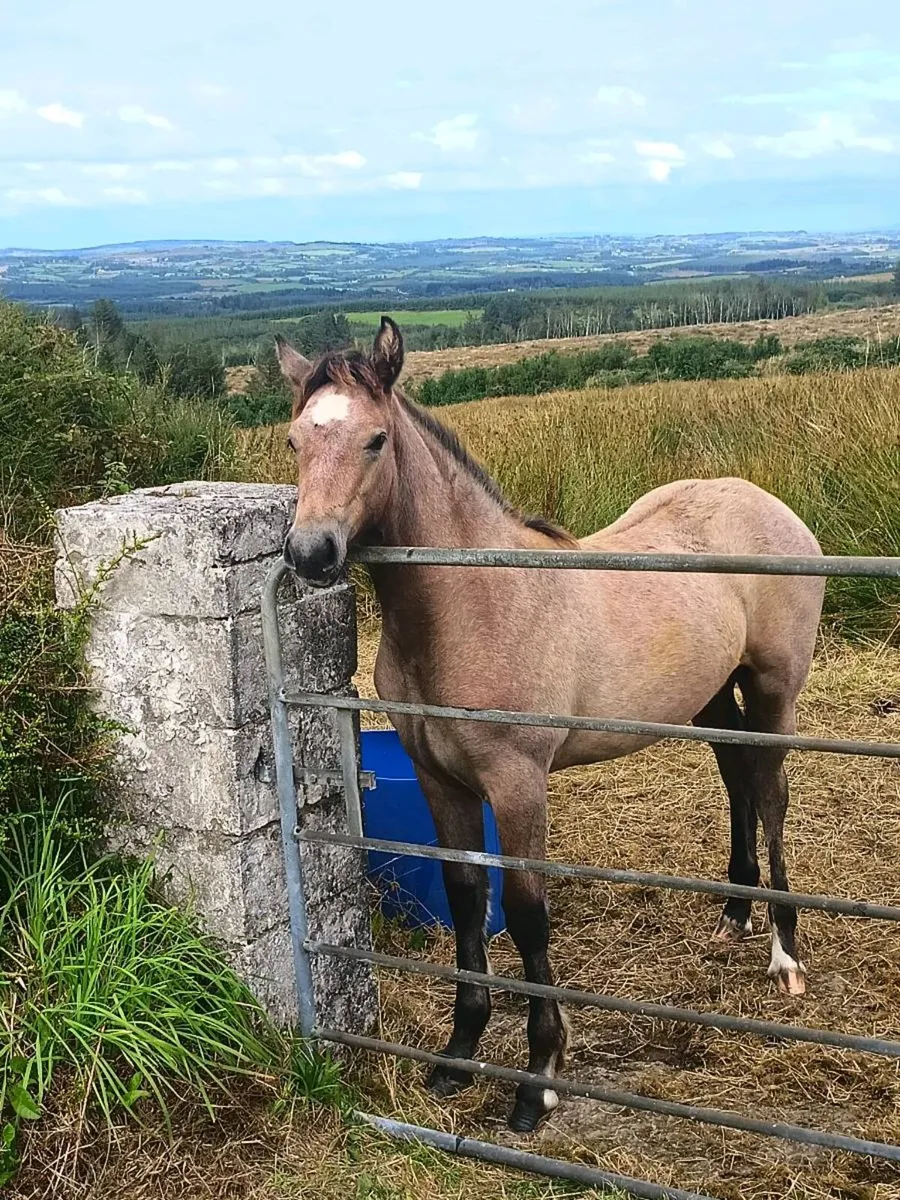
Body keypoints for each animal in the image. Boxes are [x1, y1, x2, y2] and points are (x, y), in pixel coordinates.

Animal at [275, 317, 825, 1134]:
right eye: (293, 441)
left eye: (375, 439)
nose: (311, 553)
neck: (474, 600)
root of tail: (768, 503)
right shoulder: (441, 783)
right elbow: (467, 899)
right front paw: (457, 1055)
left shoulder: (518, 783)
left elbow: (528, 915)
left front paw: (538, 1081)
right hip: (710, 697)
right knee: (738, 780)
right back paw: (734, 912)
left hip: (773, 690)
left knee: (773, 794)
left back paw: (785, 954)